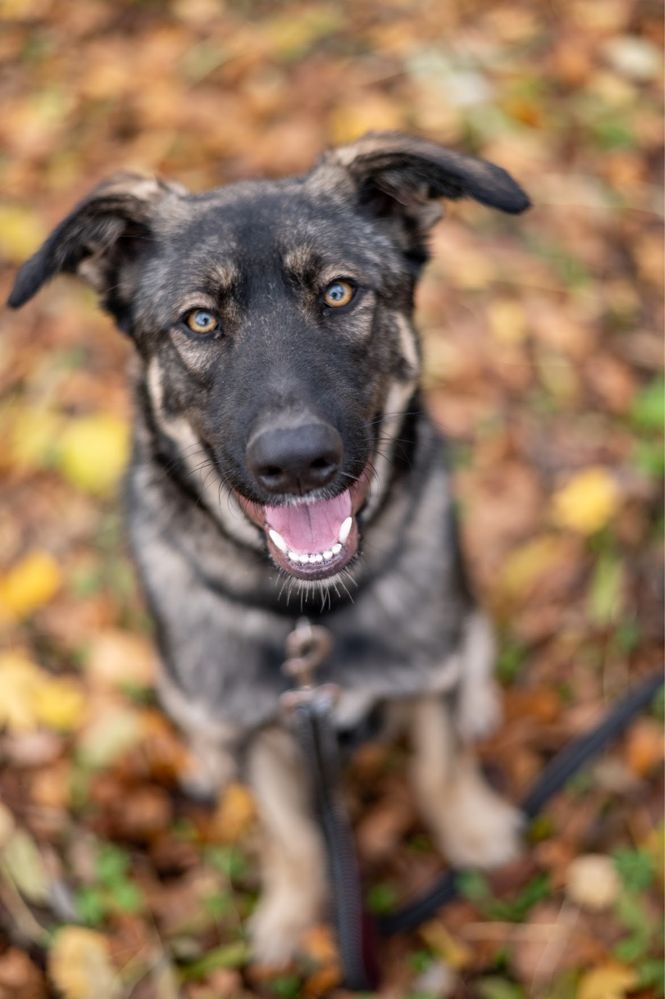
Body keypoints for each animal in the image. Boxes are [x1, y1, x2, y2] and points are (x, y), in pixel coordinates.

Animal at [7, 135, 528, 968]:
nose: (295, 462)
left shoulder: (421, 667)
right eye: (199, 320)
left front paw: (471, 830)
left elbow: (437, 760)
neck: (310, 618)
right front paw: (290, 914)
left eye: (340, 293)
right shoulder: (259, 726)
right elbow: (289, 833)